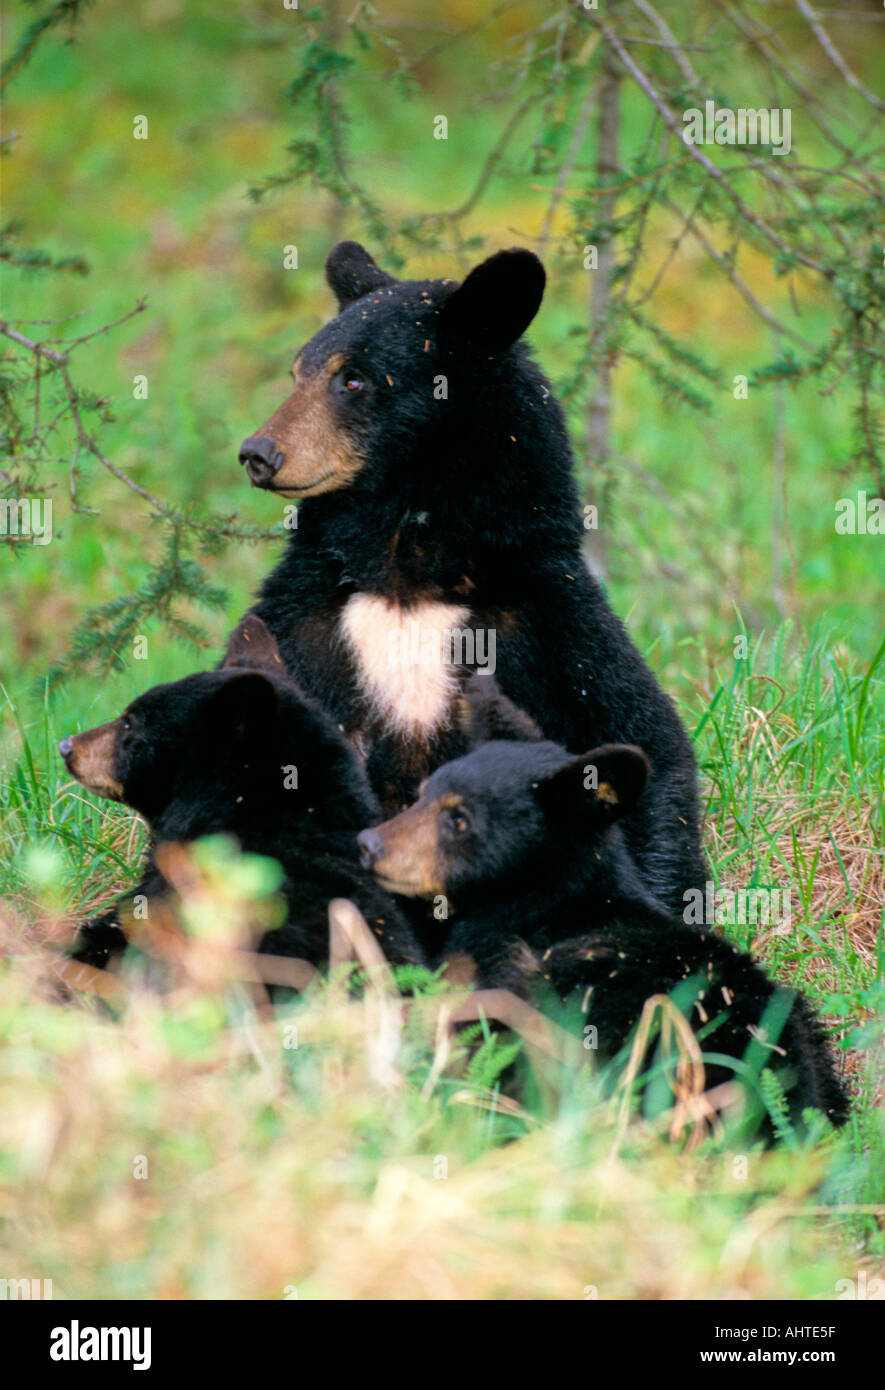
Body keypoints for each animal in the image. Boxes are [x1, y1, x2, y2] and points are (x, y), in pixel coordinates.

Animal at [235, 240, 707, 919]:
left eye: (352, 379)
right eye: (298, 372)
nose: (259, 452)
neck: (407, 568)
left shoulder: (546, 623)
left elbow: (637, 740)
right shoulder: (310, 618)